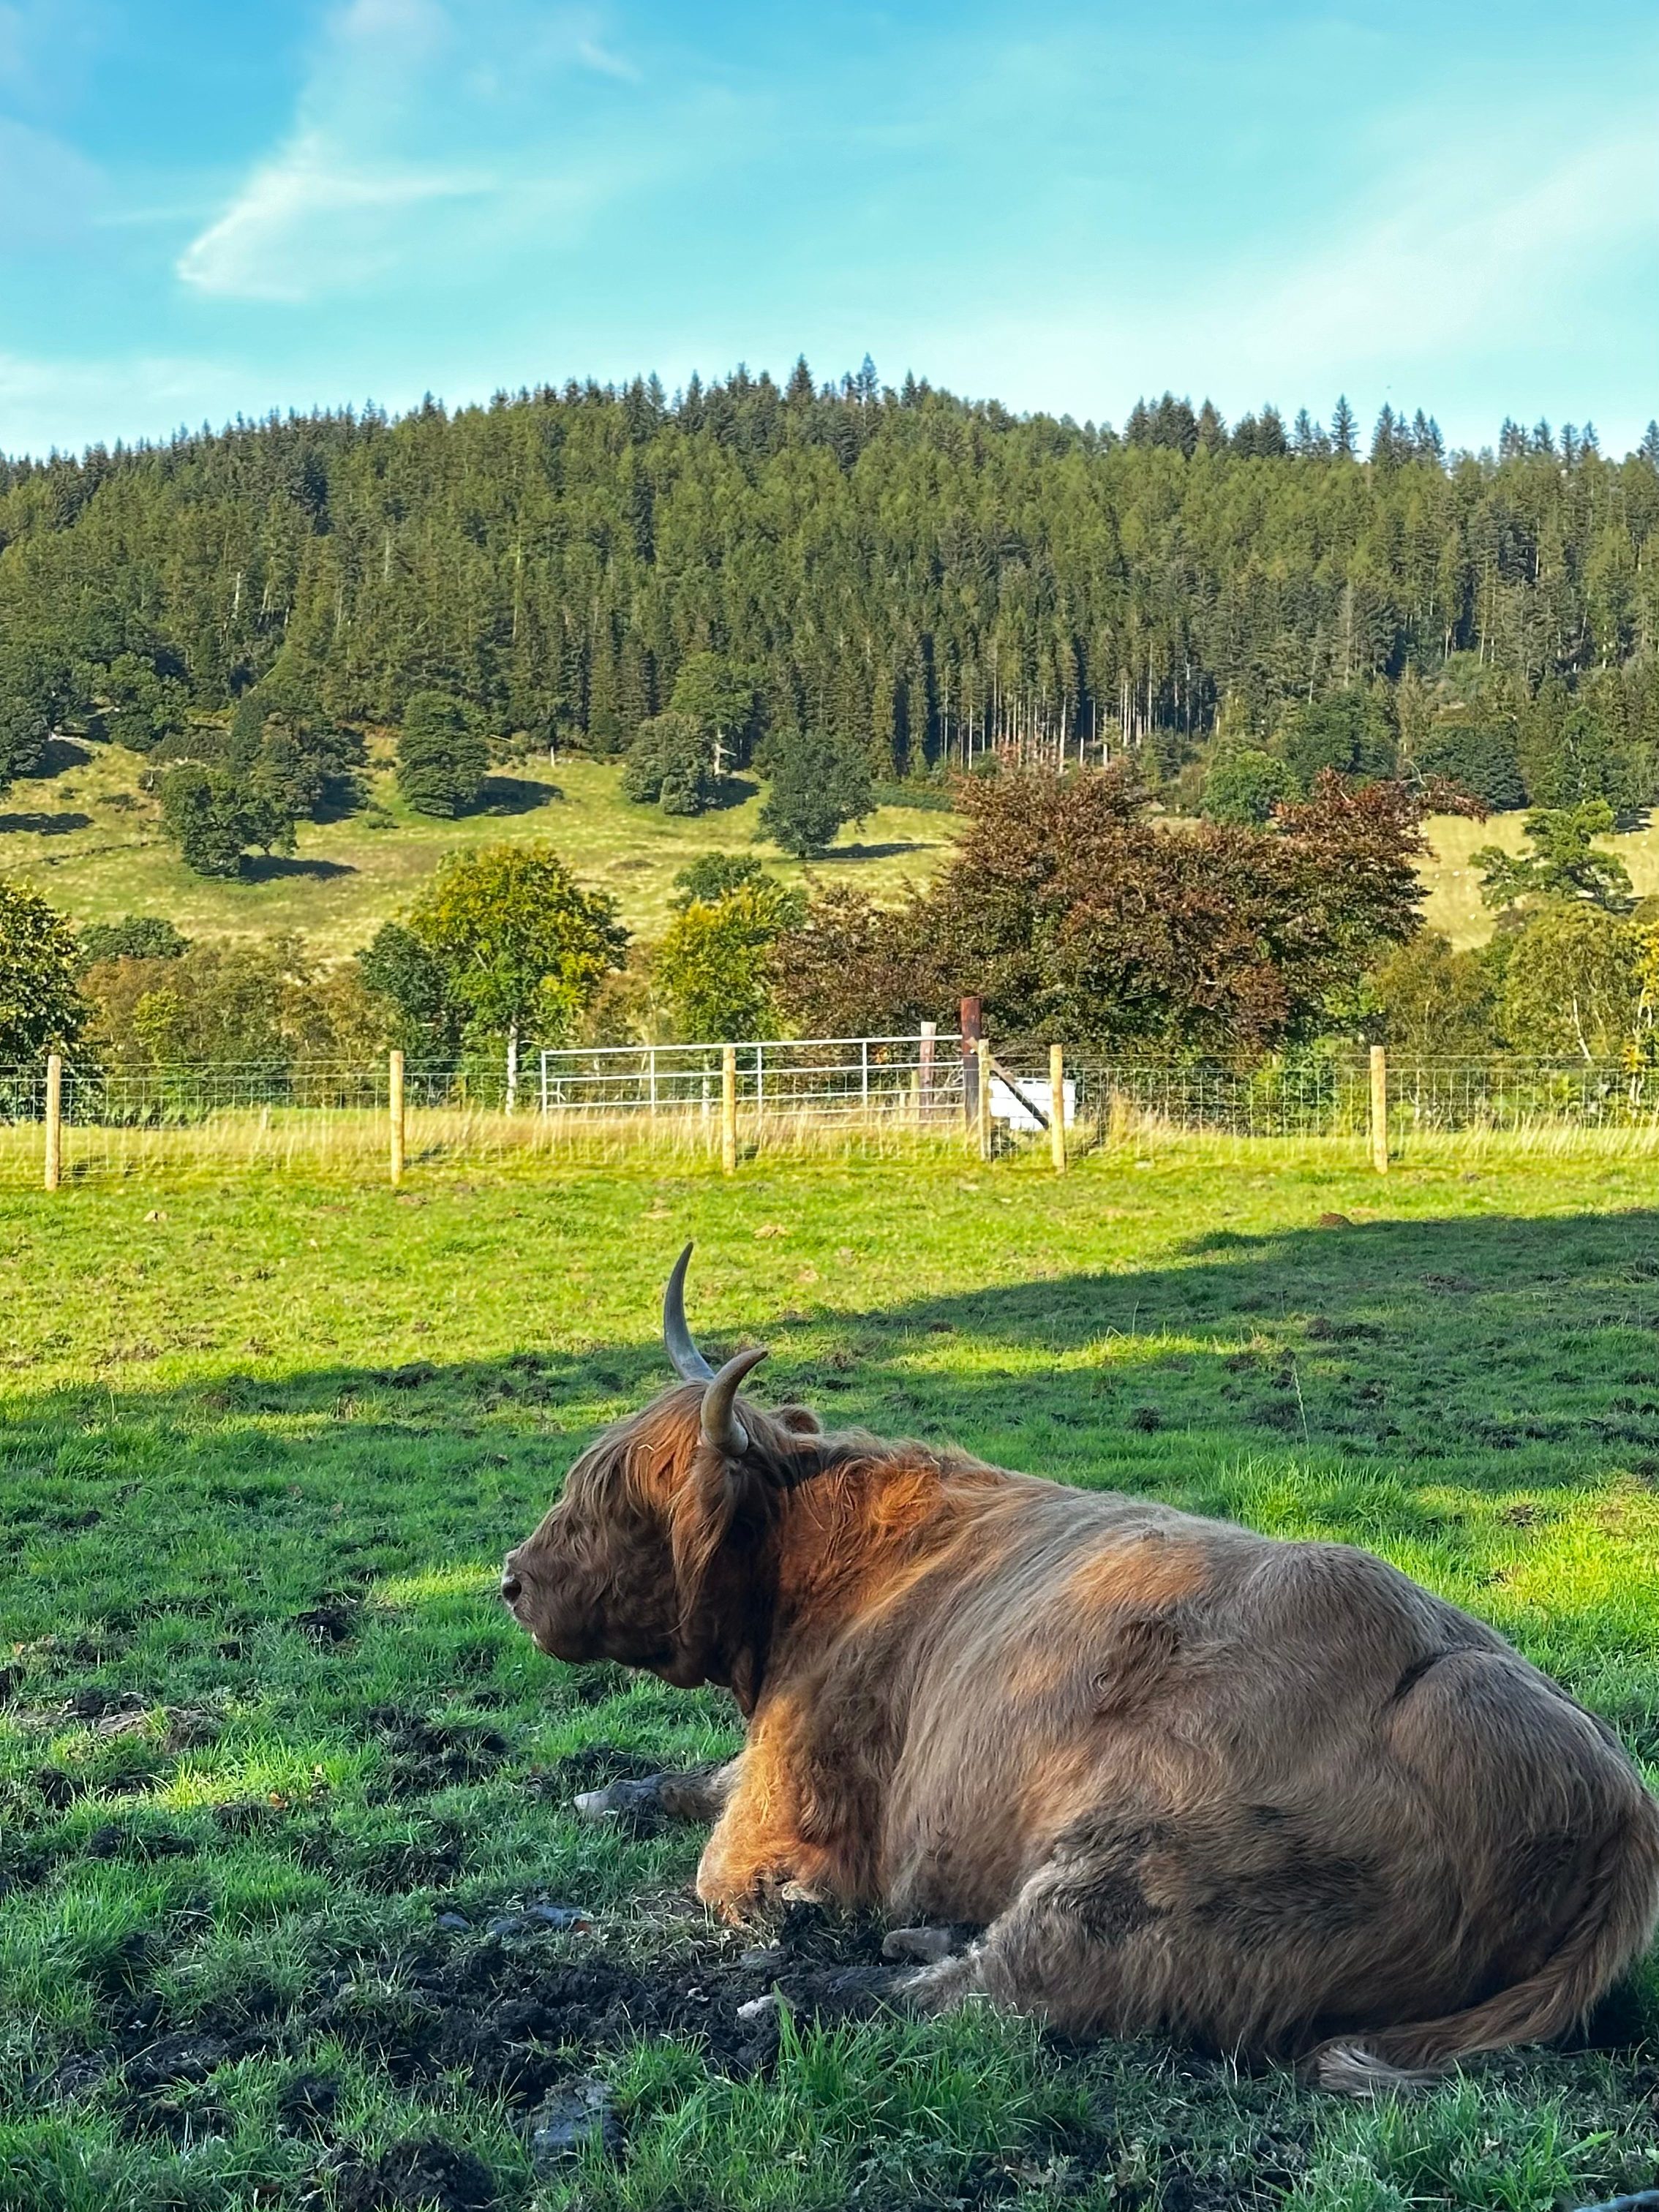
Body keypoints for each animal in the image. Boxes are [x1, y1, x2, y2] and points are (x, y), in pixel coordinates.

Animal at [500, 1246, 1659, 2093]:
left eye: (608, 1500)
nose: (510, 1578)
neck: (821, 1571)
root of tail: (1615, 1802)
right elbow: (684, 1779)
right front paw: (608, 1793)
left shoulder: (788, 1813)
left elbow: (727, 1871)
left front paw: (788, 1926)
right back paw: (919, 1934)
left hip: (1156, 1880)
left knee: (1008, 1991)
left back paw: (806, 1993)